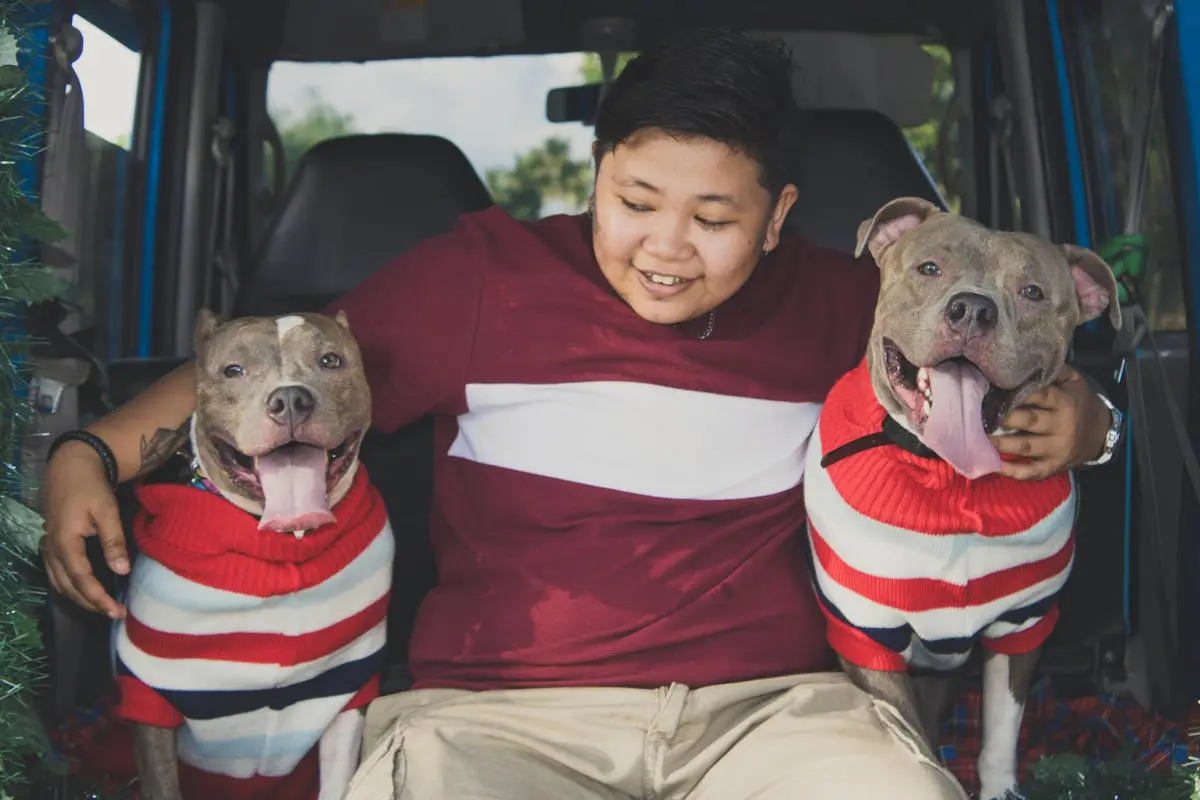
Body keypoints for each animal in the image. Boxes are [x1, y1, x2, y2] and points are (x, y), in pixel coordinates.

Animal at [116, 309, 391, 800]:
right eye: (233, 370)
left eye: (330, 360)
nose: (290, 399)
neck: (285, 544)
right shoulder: (149, 698)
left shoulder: (346, 687)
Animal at [801, 195, 1118, 800]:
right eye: (930, 268)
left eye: (1032, 291)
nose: (972, 309)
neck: (953, 478)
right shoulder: (868, 639)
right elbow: (919, 747)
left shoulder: (1022, 625)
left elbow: (999, 731)